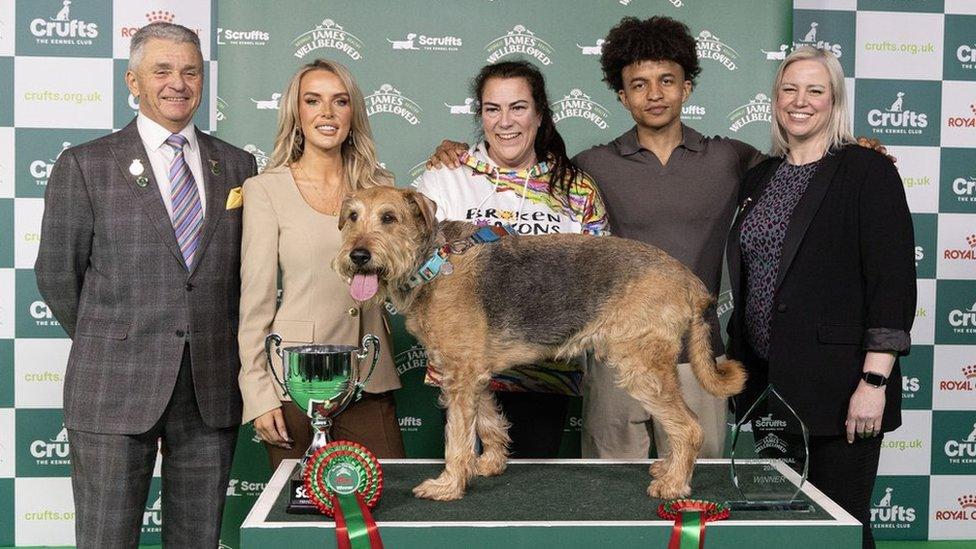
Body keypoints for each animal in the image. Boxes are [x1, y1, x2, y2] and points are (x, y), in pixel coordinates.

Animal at [336, 185, 748, 500]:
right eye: (352, 216)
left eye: (389, 218)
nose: (358, 256)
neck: (434, 263)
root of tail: (689, 280)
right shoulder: (472, 374)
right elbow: (488, 422)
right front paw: (489, 464)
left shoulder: (461, 375)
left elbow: (457, 439)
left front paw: (448, 485)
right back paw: (668, 470)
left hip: (641, 367)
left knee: (689, 427)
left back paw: (674, 485)